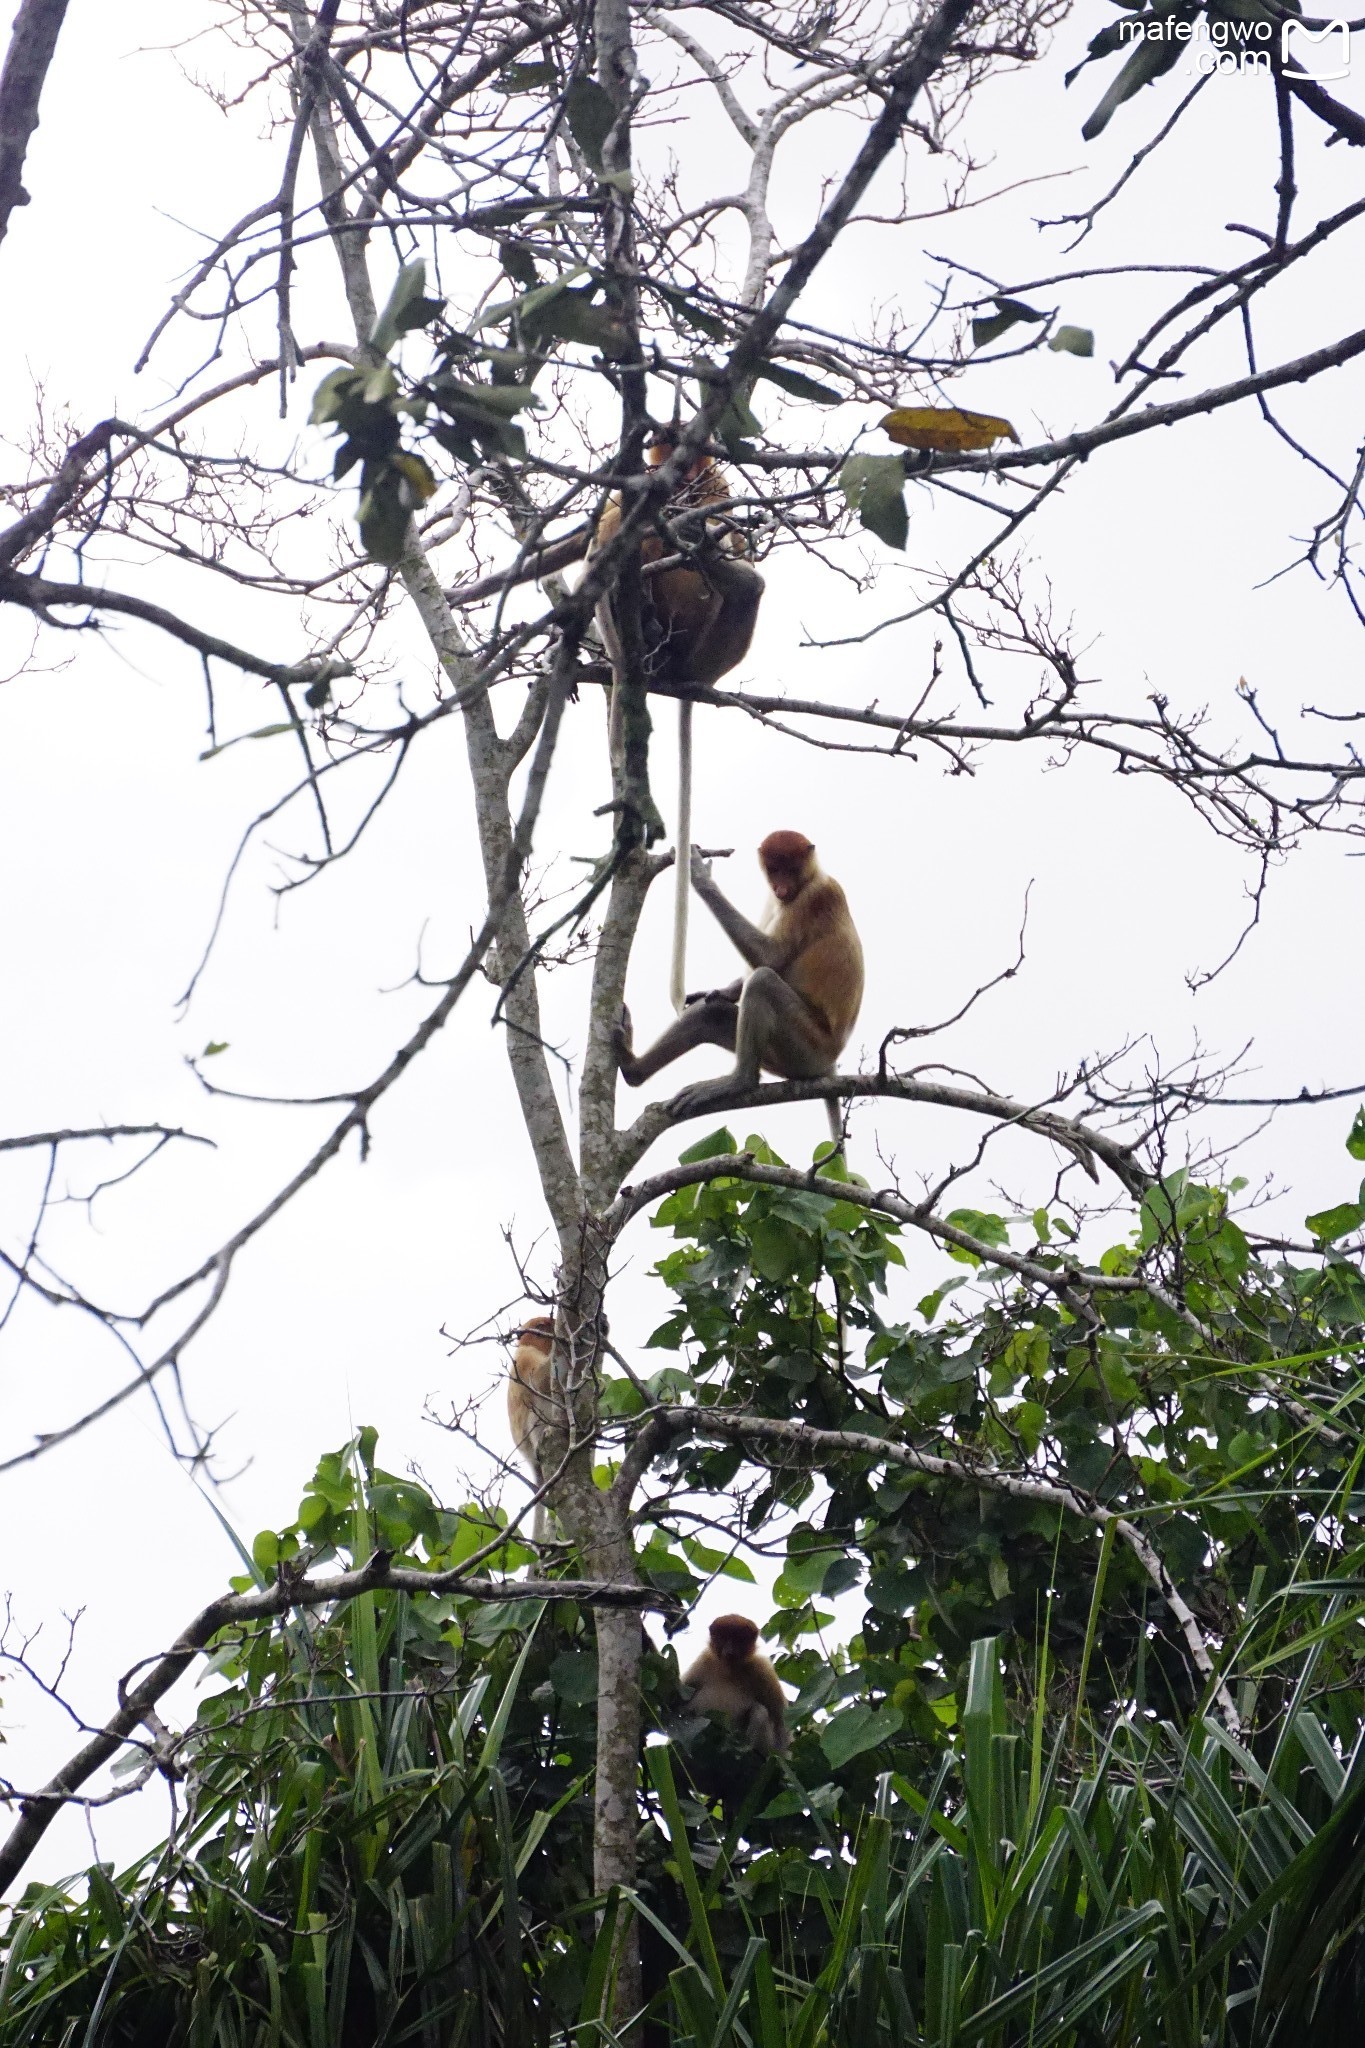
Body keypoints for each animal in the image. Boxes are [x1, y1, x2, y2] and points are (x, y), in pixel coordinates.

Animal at [618, 831, 863, 1155]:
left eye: (791, 869)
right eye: (774, 869)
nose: (781, 887)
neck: (810, 879)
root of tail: (830, 1062)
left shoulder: (815, 899)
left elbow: (770, 958)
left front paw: (700, 876)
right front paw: (719, 991)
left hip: (808, 1050)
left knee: (763, 981)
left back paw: (740, 1082)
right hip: (781, 1057)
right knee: (712, 1014)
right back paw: (632, 1067)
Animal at [679, 1613, 789, 1761]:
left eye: (739, 1639)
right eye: (723, 1637)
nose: (729, 1652)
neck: (730, 1670)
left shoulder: (762, 1669)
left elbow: (780, 1722)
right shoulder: (703, 1662)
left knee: (760, 1711)